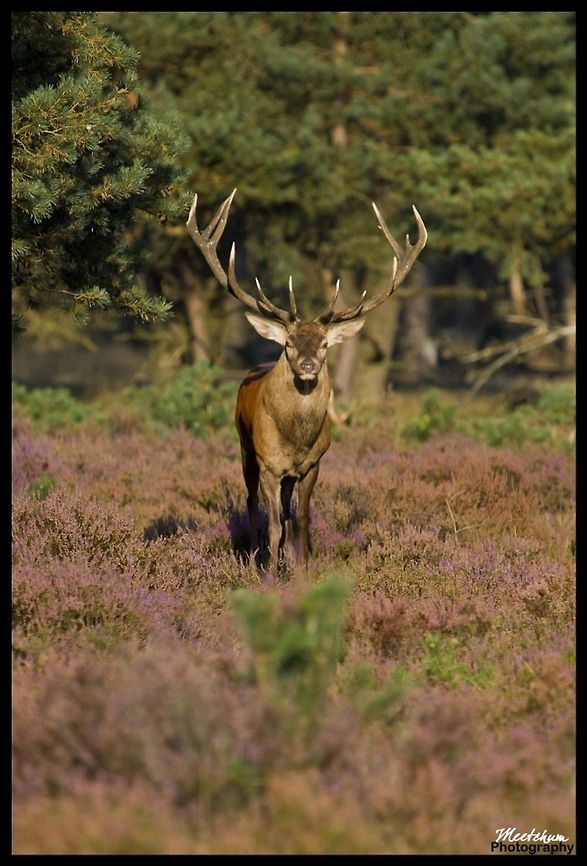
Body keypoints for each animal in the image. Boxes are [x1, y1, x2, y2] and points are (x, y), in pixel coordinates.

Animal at [186, 189, 427, 572]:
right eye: (288, 342)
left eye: (325, 343)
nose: (308, 365)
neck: (296, 439)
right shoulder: (269, 464)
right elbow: (271, 523)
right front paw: (268, 571)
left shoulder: (313, 464)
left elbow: (300, 518)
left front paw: (303, 567)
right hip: (245, 447)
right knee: (252, 503)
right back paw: (254, 557)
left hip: (286, 473)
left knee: (286, 511)